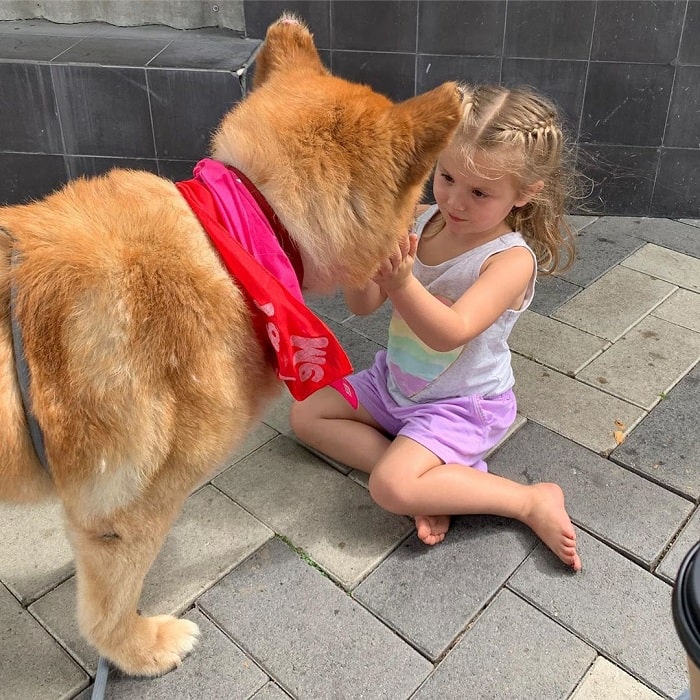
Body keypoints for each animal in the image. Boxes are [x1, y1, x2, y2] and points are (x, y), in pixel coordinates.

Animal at [0, 15, 462, 672]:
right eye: (425, 188)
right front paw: (138, 651)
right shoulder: (127, 511)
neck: (244, 228)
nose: (421, 237)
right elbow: (108, 609)